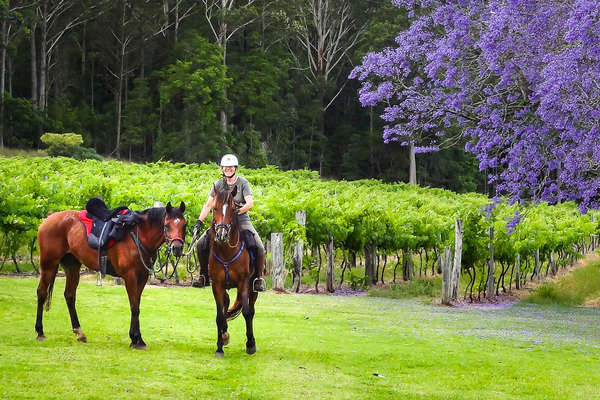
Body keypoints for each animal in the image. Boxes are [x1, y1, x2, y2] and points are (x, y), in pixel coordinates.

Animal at [35, 202, 185, 348]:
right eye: (167, 225)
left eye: (184, 225)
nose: (177, 248)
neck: (139, 236)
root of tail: (49, 217)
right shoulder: (130, 277)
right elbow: (134, 307)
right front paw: (135, 339)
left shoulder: (142, 277)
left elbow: (137, 306)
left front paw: (139, 339)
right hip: (48, 264)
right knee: (42, 292)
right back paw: (40, 332)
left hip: (72, 266)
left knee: (69, 295)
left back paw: (79, 332)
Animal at [209, 184, 258, 356]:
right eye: (214, 208)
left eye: (232, 209)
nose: (221, 234)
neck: (226, 251)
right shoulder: (216, 284)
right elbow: (219, 316)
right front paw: (219, 347)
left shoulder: (243, 283)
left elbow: (246, 313)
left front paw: (250, 344)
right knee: (226, 304)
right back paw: (224, 335)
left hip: (253, 287)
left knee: (251, 309)